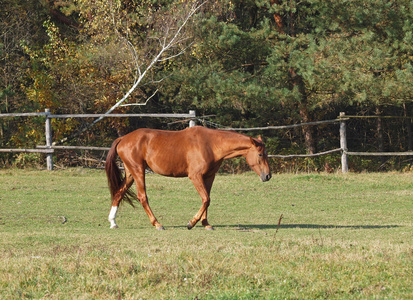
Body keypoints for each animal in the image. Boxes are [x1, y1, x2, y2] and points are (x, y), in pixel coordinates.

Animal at [105, 125, 270, 231]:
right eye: (260, 154)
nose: (268, 175)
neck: (211, 144)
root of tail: (123, 138)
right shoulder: (195, 176)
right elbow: (206, 199)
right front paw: (191, 223)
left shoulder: (209, 176)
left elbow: (207, 199)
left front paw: (206, 224)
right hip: (138, 171)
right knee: (142, 197)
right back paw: (157, 224)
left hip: (131, 173)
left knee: (119, 193)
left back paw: (113, 222)